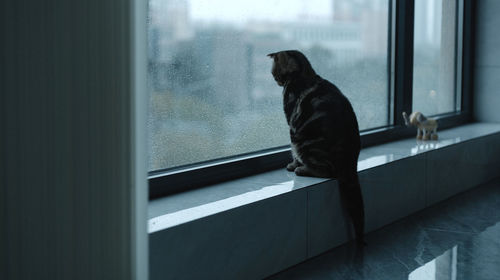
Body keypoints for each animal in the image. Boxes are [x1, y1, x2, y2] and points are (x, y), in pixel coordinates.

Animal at [268, 49, 366, 244]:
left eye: (275, 71)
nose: (275, 79)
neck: (303, 74)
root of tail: (350, 161)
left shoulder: (291, 124)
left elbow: (293, 154)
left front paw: (293, 166)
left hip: (306, 143)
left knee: (327, 171)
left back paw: (302, 170)